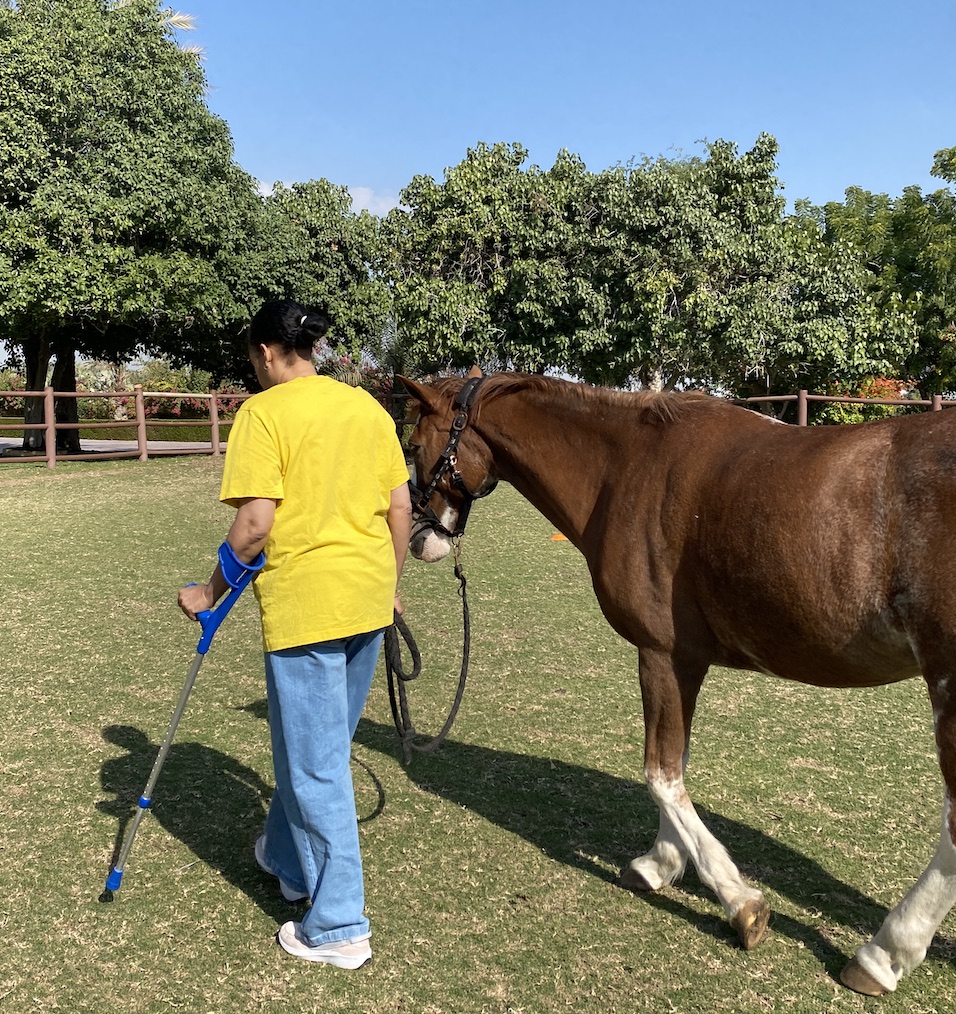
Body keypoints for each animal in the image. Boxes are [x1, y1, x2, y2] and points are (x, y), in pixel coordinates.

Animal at [397, 369, 956, 993]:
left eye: (413, 445)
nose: (419, 538)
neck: (627, 462)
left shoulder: (659, 654)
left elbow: (660, 774)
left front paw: (740, 903)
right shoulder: (683, 661)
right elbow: (675, 765)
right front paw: (661, 862)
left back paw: (883, 953)